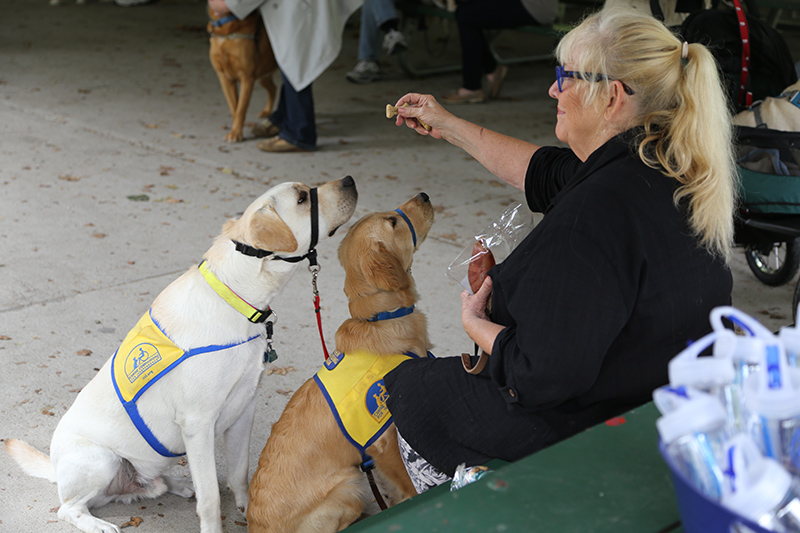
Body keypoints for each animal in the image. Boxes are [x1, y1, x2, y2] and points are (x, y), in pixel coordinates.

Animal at [4, 177, 358, 532]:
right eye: (301, 198)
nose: (349, 181)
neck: (234, 297)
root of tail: (55, 468)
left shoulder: (244, 407)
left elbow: (240, 473)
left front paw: (248, 510)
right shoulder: (197, 424)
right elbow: (211, 496)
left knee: (152, 486)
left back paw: (177, 484)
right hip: (101, 460)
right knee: (68, 508)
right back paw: (98, 523)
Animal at [250, 192, 438, 532]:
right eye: (393, 220)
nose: (424, 195)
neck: (380, 318)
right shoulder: (386, 440)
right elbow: (406, 481)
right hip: (349, 485)